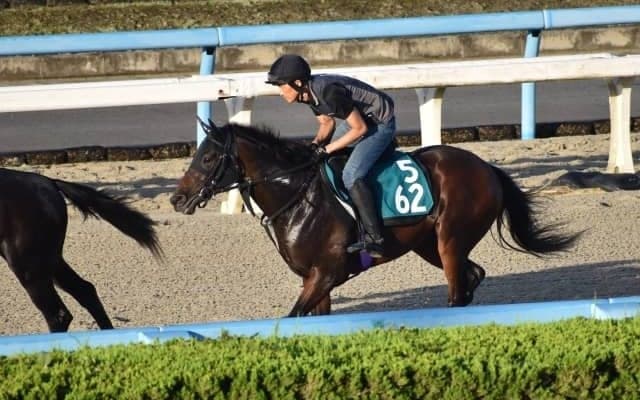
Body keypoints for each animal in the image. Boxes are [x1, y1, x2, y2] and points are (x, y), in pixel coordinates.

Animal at [170, 120, 580, 316]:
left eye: (208, 158)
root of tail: (487, 168)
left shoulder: (326, 273)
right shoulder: (314, 279)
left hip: (450, 239)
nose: (177, 198)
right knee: (472, 275)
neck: (297, 196)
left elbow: (293, 316)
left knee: (457, 287)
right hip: (427, 244)